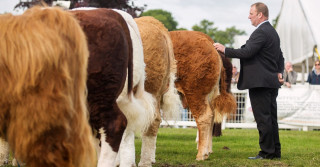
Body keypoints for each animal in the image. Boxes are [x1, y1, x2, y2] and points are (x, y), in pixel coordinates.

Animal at [170, 30, 238, 160]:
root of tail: (208, 40)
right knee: (211, 116)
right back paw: (207, 150)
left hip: (194, 91)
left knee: (204, 116)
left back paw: (201, 154)